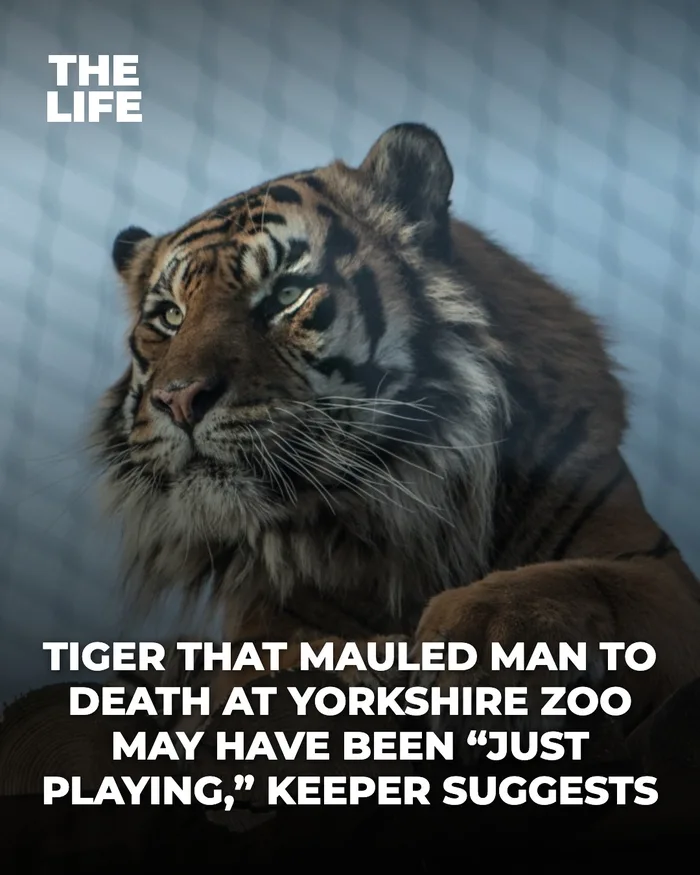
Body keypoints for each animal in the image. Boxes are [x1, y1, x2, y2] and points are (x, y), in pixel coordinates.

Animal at [94, 122, 700, 759]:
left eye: (286, 295)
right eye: (169, 316)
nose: (180, 398)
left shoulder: (657, 571)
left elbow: (582, 579)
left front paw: (481, 634)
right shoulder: (269, 613)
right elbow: (290, 655)